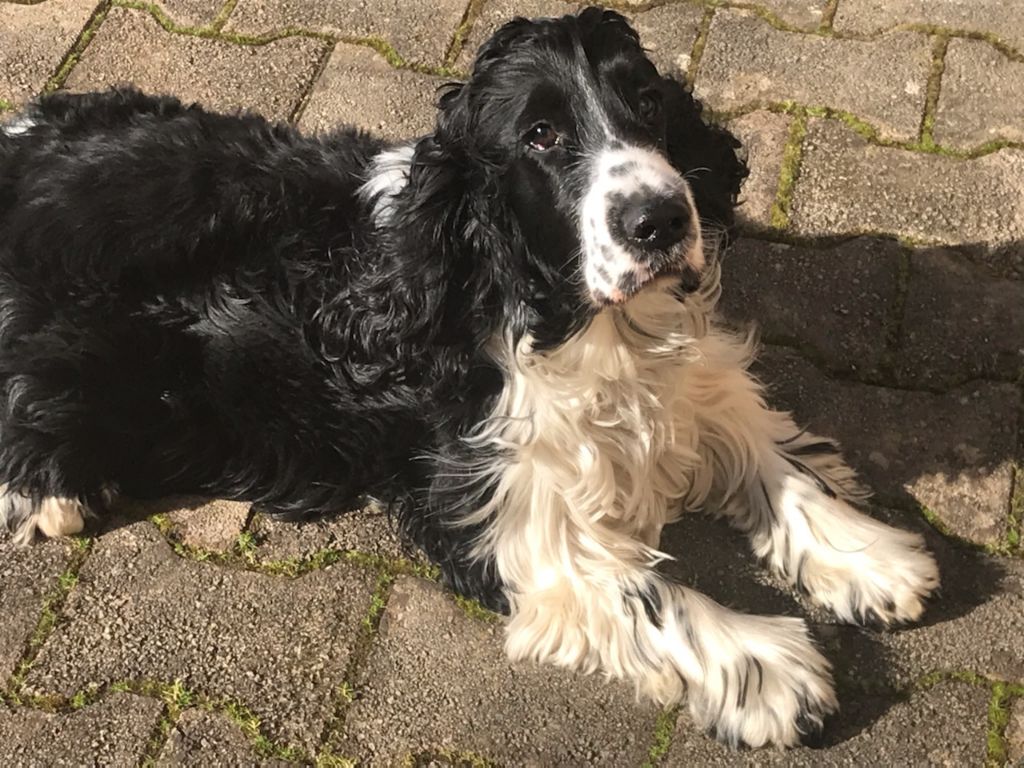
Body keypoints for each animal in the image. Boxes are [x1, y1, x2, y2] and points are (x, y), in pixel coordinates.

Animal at [0, 7, 937, 753]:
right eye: (540, 136)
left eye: (648, 103)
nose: (663, 220)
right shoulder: (505, 512)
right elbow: (647, 590)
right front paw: (768, 669)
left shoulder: (689, 385)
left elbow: (775, 462)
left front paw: (870, 558)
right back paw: (50, 489)